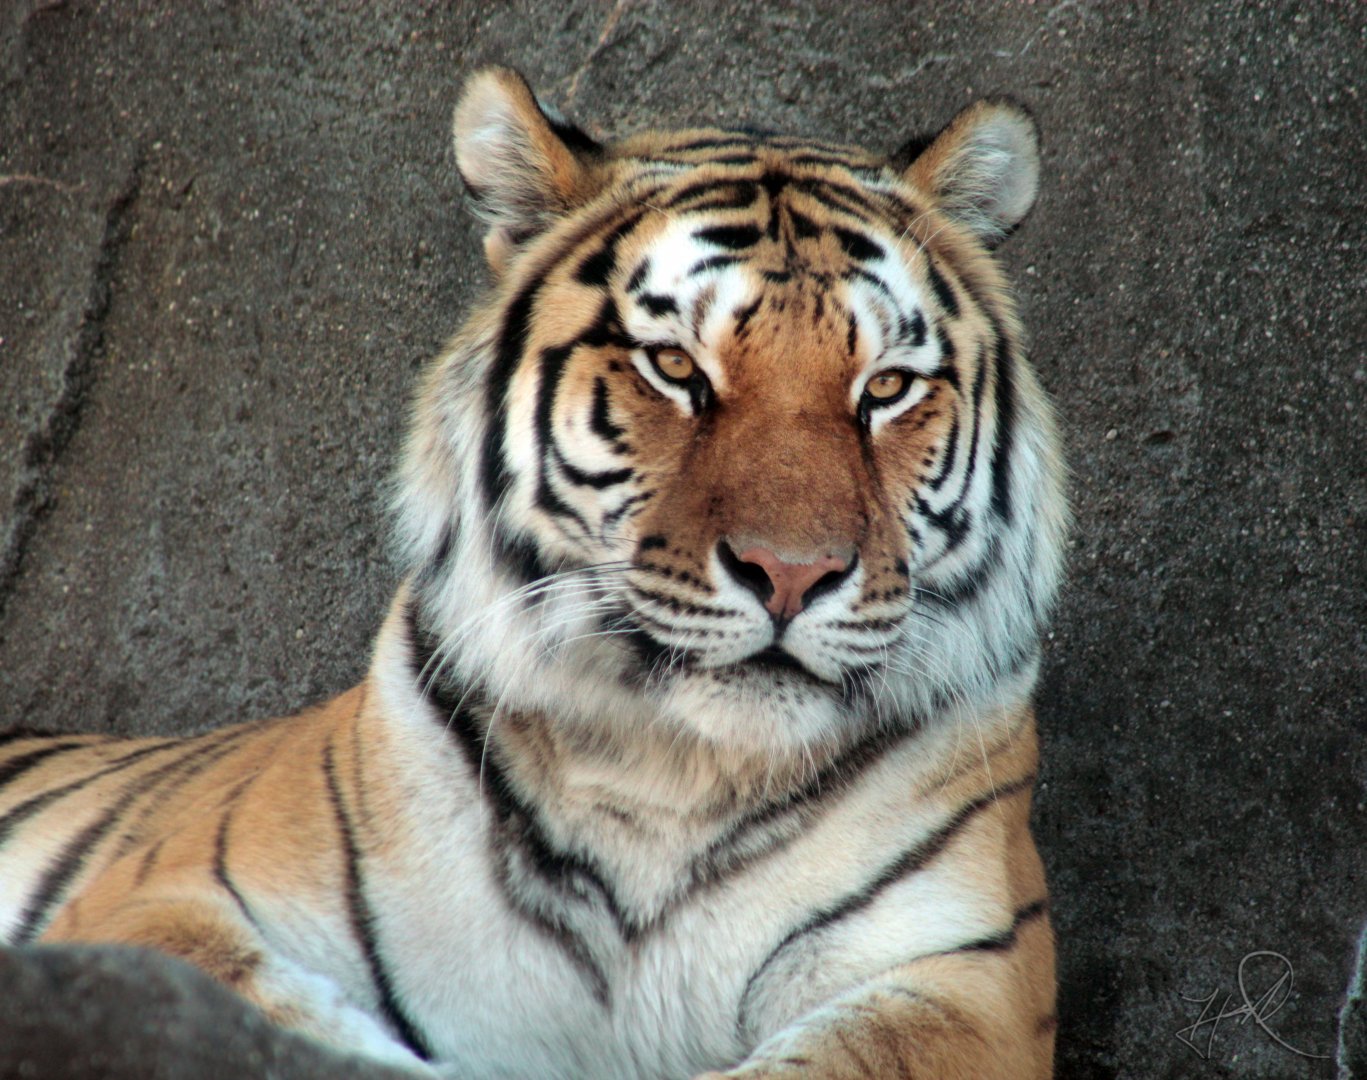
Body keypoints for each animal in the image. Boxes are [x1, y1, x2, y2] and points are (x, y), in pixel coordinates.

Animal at [0, 66, 1067, 1079]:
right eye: (675, 368)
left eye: (884, 388)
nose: (791, 573)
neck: (671, 777)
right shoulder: (159, 900)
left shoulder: (966, 981)